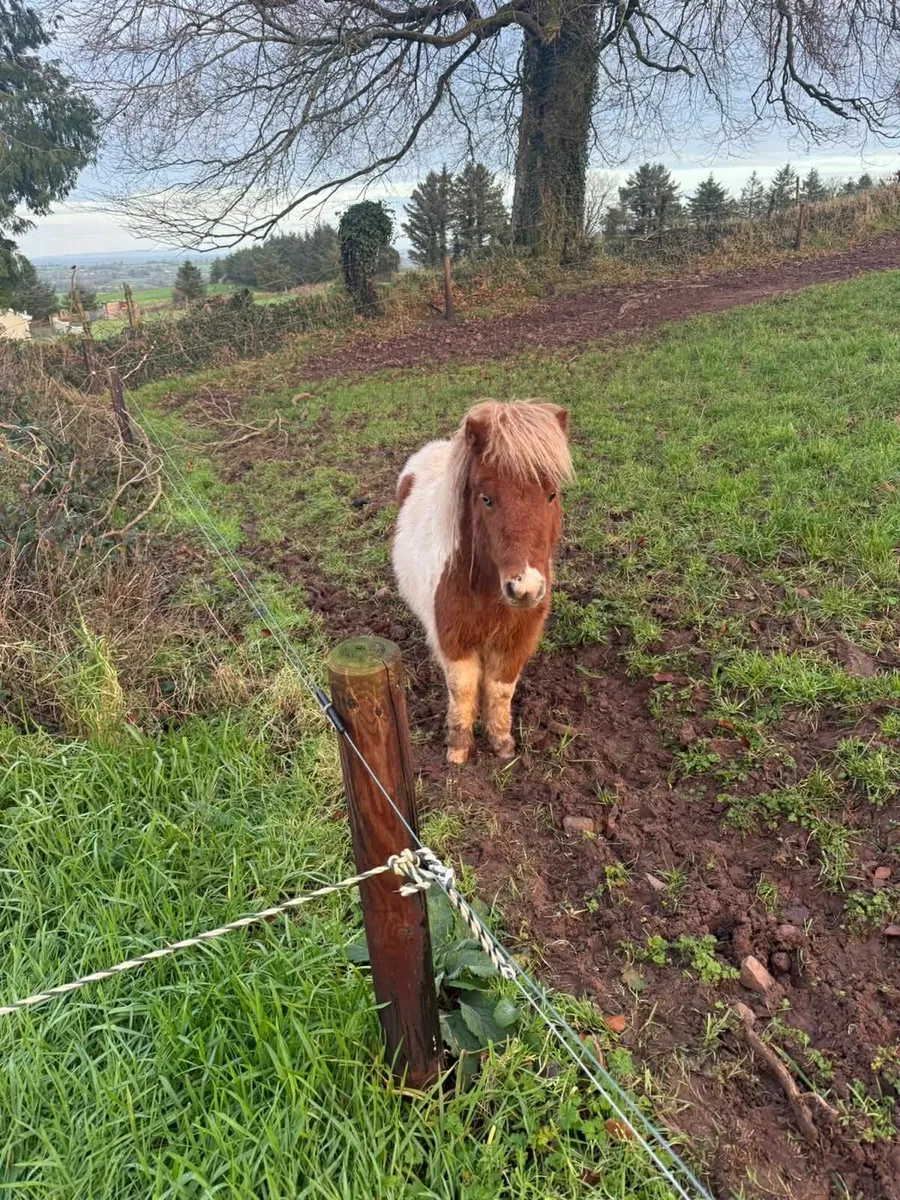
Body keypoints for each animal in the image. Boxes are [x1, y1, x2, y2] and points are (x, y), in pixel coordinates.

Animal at [392, 400, 572, 764]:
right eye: (486, 498)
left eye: (551, 494)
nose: (525, 588)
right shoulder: (454, 641)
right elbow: (462, 689)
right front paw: (458, 749)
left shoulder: (516, 643)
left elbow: (500, 690)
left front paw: (502, 743)